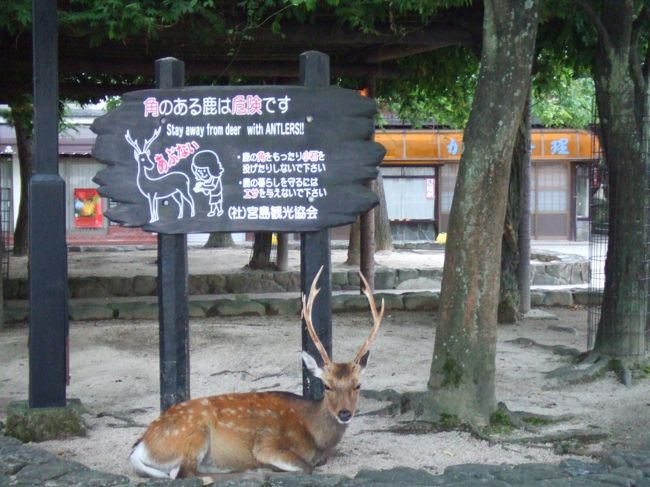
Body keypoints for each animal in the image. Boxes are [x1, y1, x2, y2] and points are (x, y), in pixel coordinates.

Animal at [129, 266, 384, 479]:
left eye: (358, 385)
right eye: (327, 385)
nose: (345, 413)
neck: (314, 435)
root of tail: (140, 445)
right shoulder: (266, 444)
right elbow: (306, 467)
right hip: (192, 435)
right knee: (183, 474)